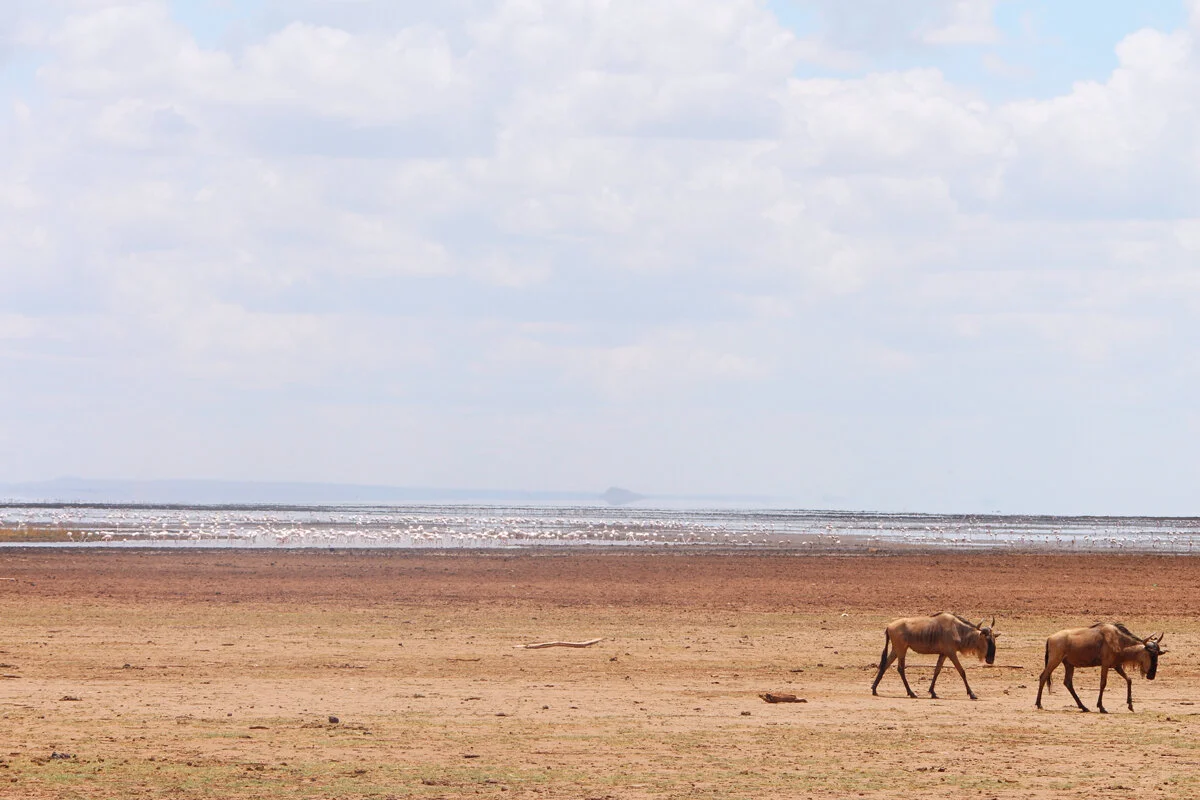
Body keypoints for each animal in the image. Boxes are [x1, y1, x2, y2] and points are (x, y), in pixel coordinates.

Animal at [1036, 623, 1165, 713]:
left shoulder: (1117, 666)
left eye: (1158, 655)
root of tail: (1050, 638)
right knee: (1043, 676)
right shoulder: (1105, 665)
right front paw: (1101, 707)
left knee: (1067, 682)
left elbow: (1129, 680)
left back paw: (1083, 707)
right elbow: (1103, 683)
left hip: (1069, 665)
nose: (1151, 676)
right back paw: (1039, 704)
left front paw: (1130, 705)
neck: (1119, 640)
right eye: (1151, 654)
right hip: (1055, 660)